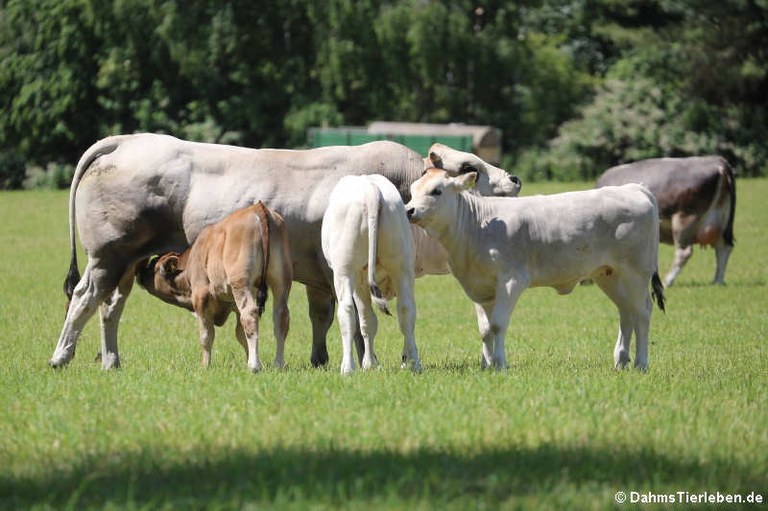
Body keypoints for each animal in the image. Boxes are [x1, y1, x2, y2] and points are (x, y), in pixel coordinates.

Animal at [135, 201, 292, 372]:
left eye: (153, 266)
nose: (139, 271)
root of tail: (258, 208)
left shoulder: (200, 297)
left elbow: (206, 335)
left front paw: (205, 365)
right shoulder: (233, 303)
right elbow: (240, 334)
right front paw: (247, 359)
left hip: (241, 283)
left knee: (250, 314)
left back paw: (254, 366)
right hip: (281, 281)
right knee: (280, 317)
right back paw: (278, 364)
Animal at [322, 174, 424, 374]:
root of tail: (370, 190)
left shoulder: (359, 284)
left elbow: (365, 320)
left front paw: (368, 363)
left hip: (345, 271)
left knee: (347, 311)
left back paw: (348, 367)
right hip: (401, 266)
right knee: (406, 310)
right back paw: (414, 363)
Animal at [408, 171, 664, 372]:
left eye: (436, 191)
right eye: (412, 191)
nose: (409, 210)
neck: (478, 225)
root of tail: (634, 188)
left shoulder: (512, 279)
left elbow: (498, 324)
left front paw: (499, 364)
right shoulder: (480, 287)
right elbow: (485, 329)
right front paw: (486, 365)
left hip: (635, 272)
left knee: (642, 312)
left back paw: (641, 363)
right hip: (609, 274)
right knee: (626, 312)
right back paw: (620, 360)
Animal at [596, 156, 736, 288]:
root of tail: (717, 161)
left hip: (685, 219)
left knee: (684, 253)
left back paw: (667, 281)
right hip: (720, 220)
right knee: (723, 248)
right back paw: (717, 281)